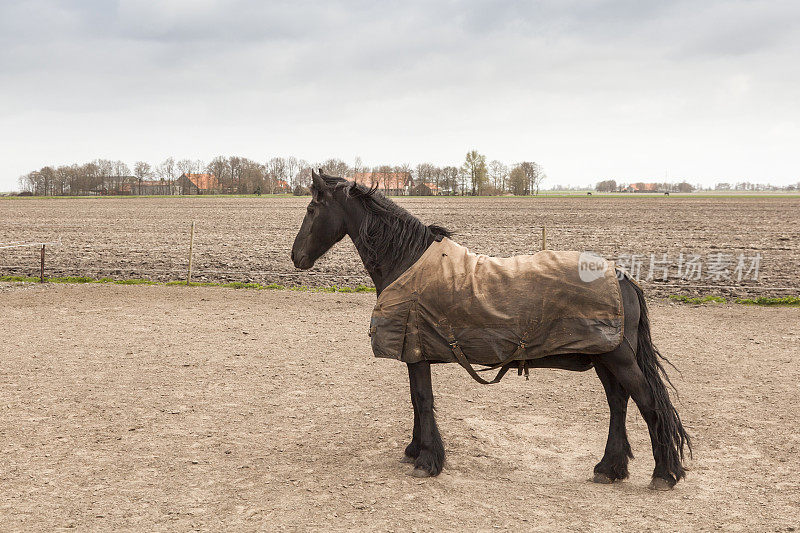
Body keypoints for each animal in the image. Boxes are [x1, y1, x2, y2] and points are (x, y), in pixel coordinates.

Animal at [290, 171, 692, 490]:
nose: (296, 256)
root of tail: (623, 277)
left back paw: (664, 473)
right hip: (603, 357)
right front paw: (415, 451)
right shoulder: (415, 352)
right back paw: (610, 468)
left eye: (311, 210)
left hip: (617, 358)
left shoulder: (415, 351)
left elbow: (421, 400)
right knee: (618, 404)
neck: (407, 261)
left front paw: (427, 460)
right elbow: (417, 402)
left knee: (649, 403)